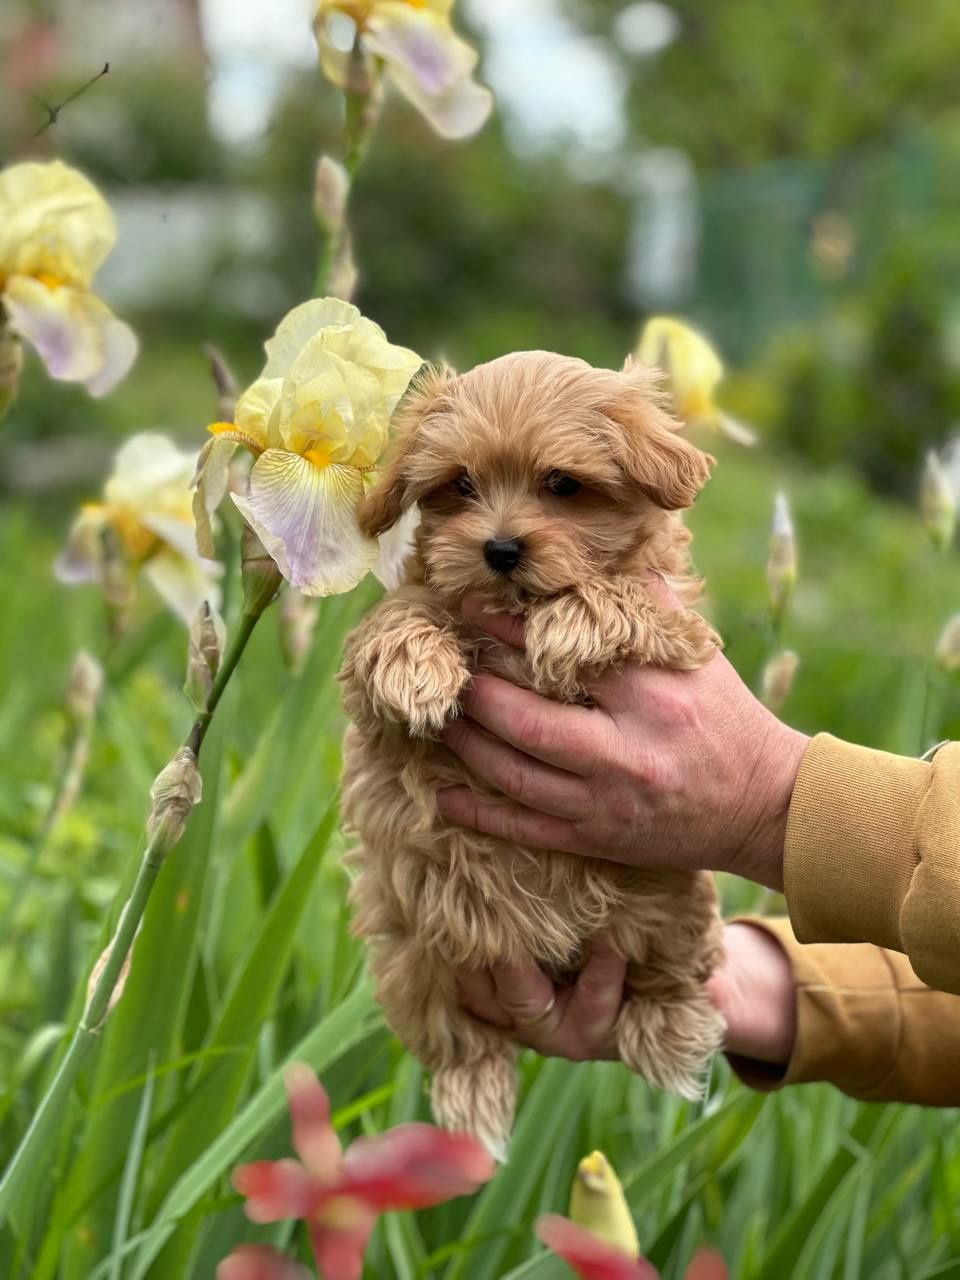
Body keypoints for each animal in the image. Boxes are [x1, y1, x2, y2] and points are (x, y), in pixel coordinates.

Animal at [343, 350, 727, 1162]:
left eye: (562, 485)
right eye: (460, 485)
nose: (500, 548)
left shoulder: (678, 629)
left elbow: (618, 594)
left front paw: (568, 626)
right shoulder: (377, 723)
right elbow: (397, 619)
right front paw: (417, 668)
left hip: (669, 903)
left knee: (674, 978)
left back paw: (673, 1036)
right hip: (414, 954)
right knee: (460, 1043)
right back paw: (475, 1105)